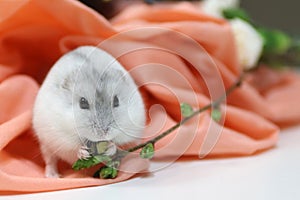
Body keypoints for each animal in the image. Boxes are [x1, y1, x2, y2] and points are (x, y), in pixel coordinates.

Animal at [32, 46, 145, 177]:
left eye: (116, 101)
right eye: (83, 103)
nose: (103, 133)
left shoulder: (130, 130)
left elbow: (118, 143)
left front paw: (109, 148)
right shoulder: (61, 137)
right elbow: (73, 147)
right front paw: (84, 153)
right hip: (46, 145)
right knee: (50, 161)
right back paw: (54, 176)